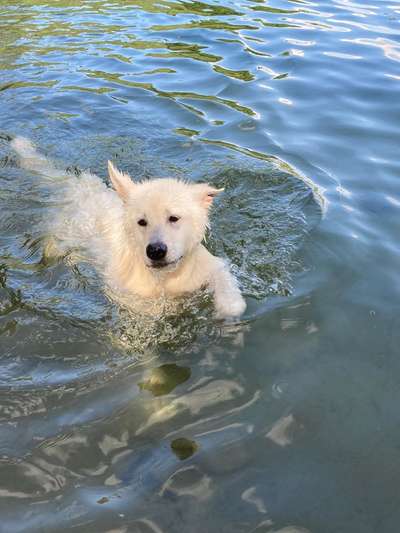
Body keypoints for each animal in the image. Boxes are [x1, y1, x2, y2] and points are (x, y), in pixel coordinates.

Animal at [10, 138, 245, 320]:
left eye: (173, 218)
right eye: (142, 221)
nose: (156, 251)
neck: (164, 278)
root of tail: (76, 185)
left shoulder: (200, 267)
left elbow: (222, 275)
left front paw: (228, 308)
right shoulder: (129, 291)